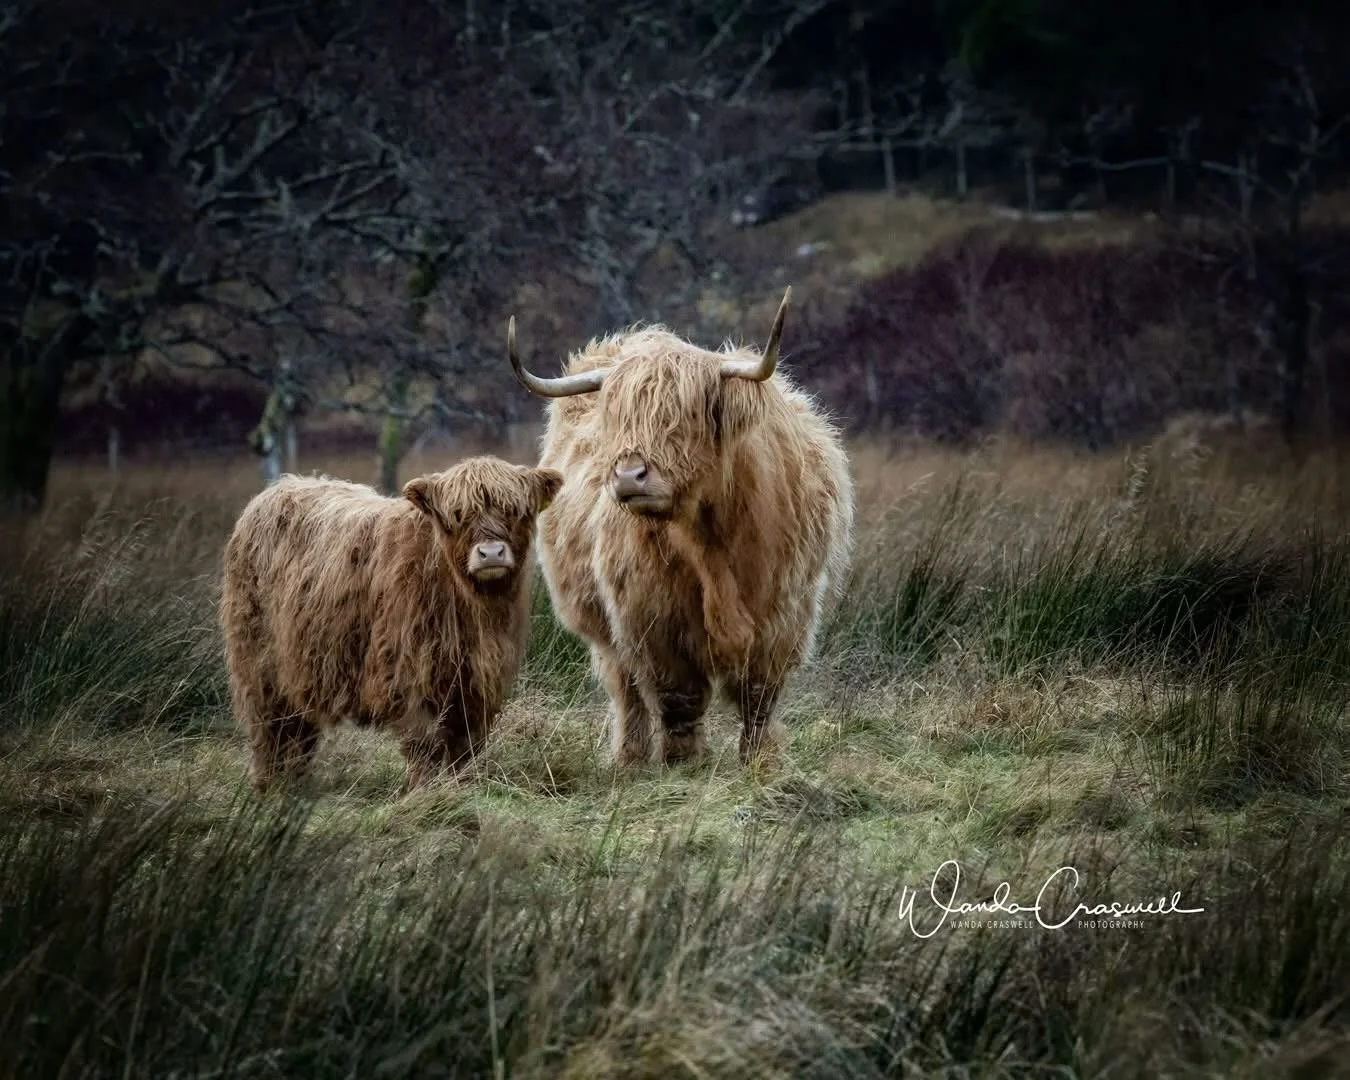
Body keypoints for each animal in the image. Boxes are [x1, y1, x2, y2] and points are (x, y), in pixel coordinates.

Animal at [219, 456, 563, 792]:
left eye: (514, 510)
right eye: (457, 515)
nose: (491, 553)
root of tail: (280, 487)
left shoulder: (478, 681)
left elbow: (465, 744)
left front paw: (462, 786)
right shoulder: (407, 673)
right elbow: (425, 742)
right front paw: (426, 791)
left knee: (300, 733)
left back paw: (297, 786)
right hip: (259, 667)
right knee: (269, 729)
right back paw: (269, 787)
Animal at [505, 287, 855, 768]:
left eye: (685, 416)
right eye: (620, 419)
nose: (628, 476)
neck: (712, 538)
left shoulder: (785, 613)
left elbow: (760, 696)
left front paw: (763, 761)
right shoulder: (653, 618)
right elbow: (678, 696)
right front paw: (684, 761)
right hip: (605, 629)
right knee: (627, 691)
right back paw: (630, 758)